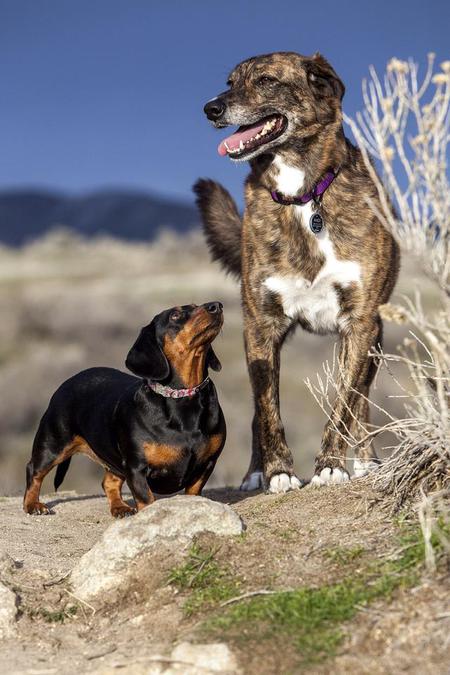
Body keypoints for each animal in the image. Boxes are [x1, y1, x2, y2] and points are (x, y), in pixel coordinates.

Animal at [195, 51, 400, 492]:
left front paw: (331, 466)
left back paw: (366, 461)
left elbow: (345, 403)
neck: (303, 197)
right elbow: (267, 408)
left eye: (266, 81)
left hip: (370, 341)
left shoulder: (360, 323)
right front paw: (278, 472)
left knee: (361, 401)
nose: (211, 109)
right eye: (230, 82)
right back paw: (255, 472)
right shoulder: (261, 325)